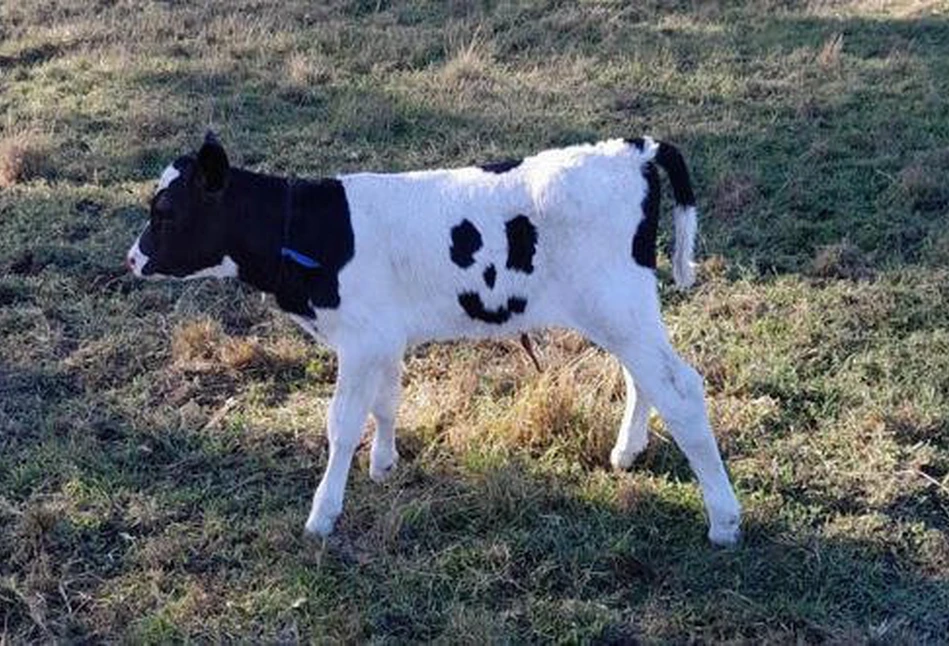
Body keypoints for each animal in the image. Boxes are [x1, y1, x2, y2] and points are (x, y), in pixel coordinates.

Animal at [124, 132, 740, 548]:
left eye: (166, 211)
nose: (132, 259)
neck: (312, 231)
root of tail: (632, 148)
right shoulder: (383, 336)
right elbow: (386, 401)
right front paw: (384, 465)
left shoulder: (360, 339)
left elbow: (341, 424)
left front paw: (323, 515)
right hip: (622, 310)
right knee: (646, 378)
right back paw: (627, 452)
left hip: (617, 304)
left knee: (681, 388)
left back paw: (725, 519)